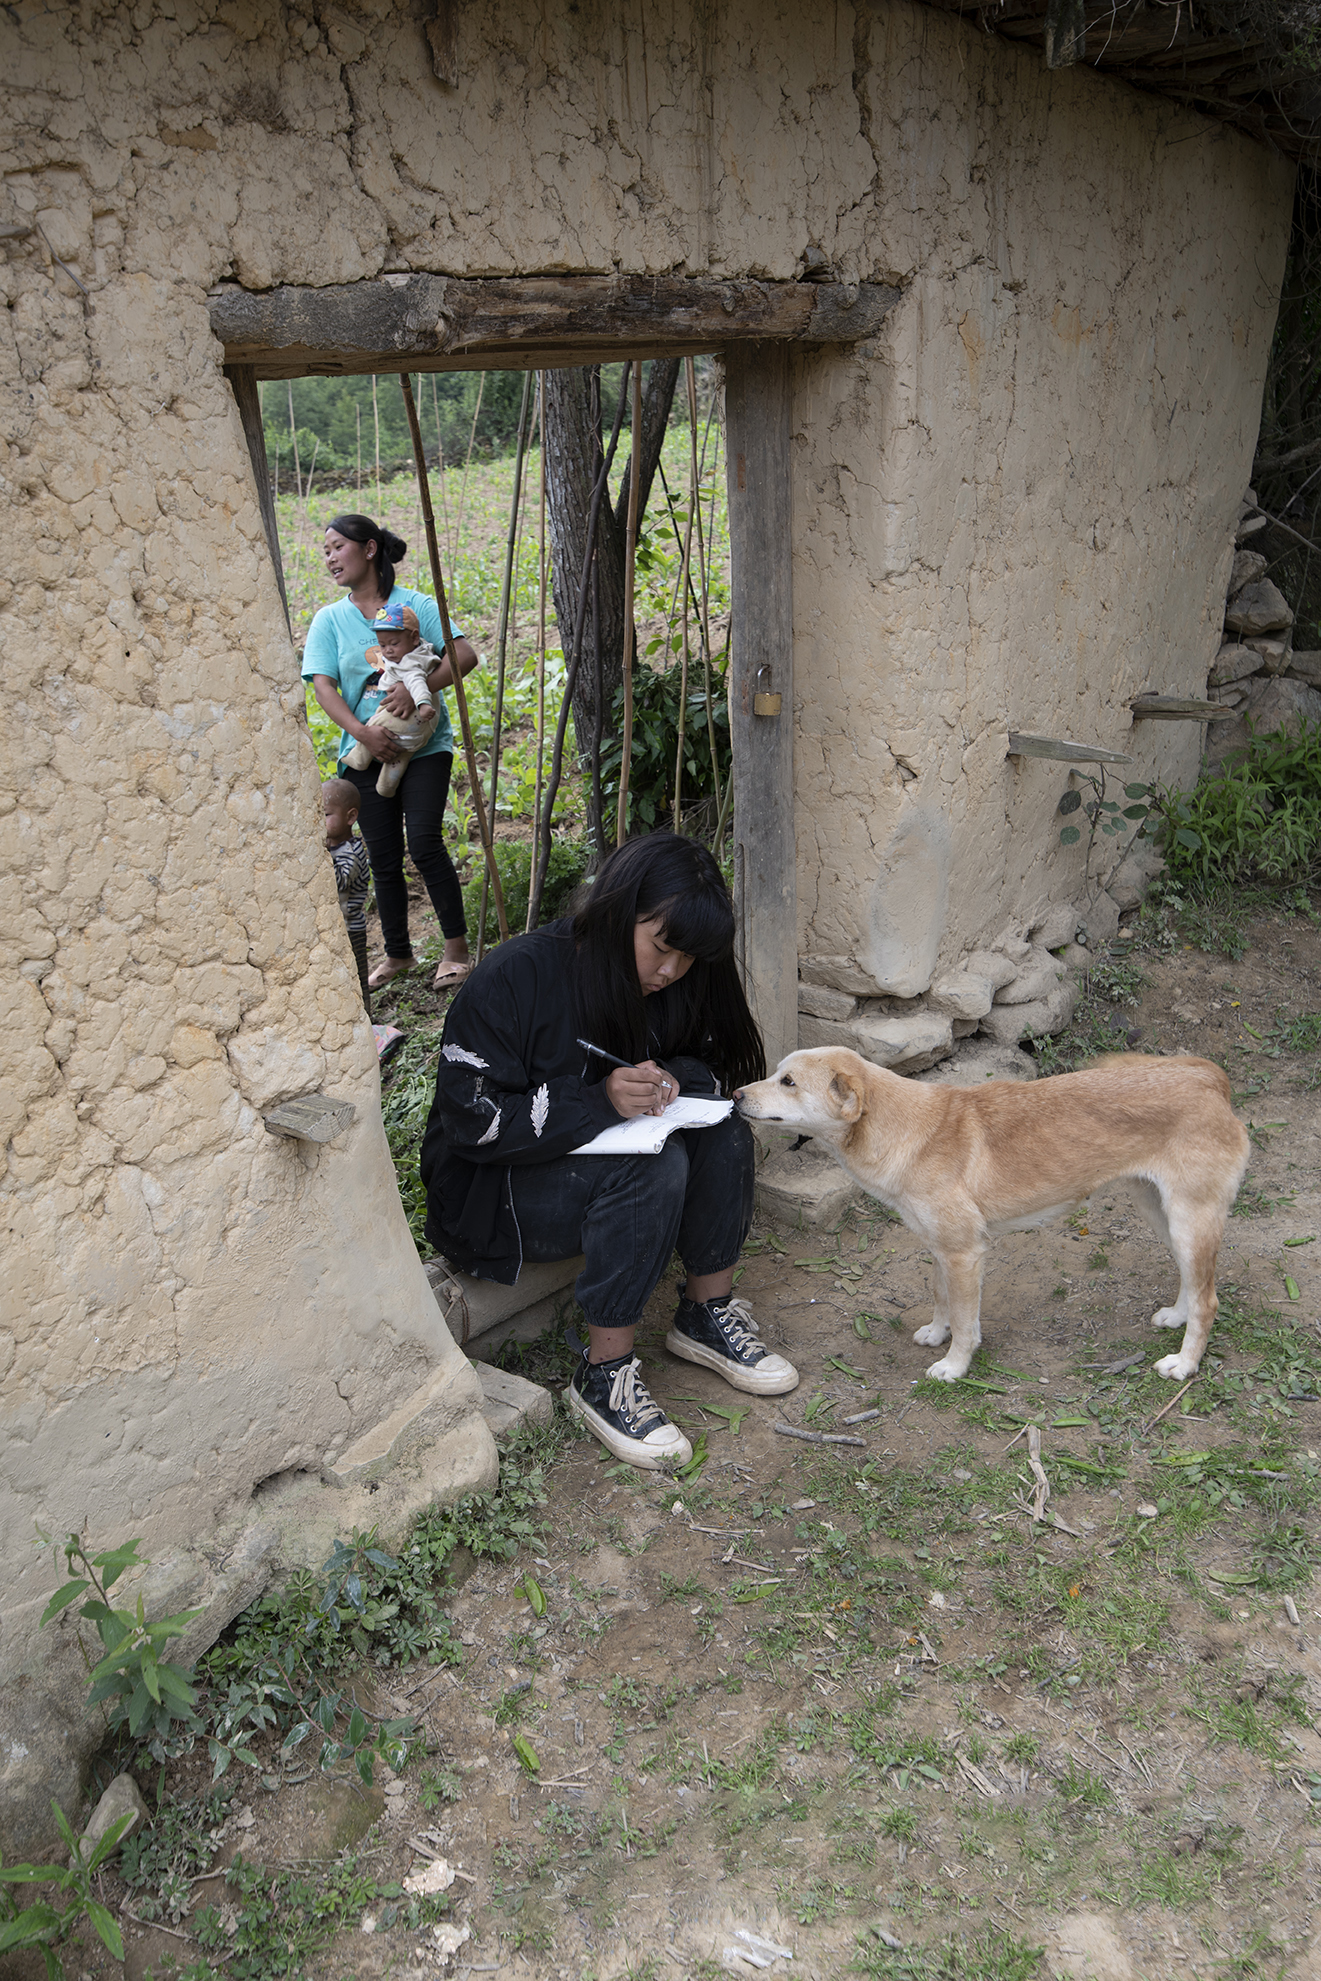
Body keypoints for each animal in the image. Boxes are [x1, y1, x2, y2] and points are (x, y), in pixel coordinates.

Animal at [732, 1053, 1251, 1378]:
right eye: (777, 1074)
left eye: (788, 1082)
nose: (734, 1094)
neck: (905, 1129)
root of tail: (1207, 1078)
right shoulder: (941, 1249)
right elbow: (941, 1300)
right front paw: (936, 1333)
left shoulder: (965, 1254)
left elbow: (966, 1324)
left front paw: (955, 1367)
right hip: (1162, 1215)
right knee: (1194, 1283)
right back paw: (1177, 1316)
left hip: (1189, 1220)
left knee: (1209, 1300)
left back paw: (1184, 1364)